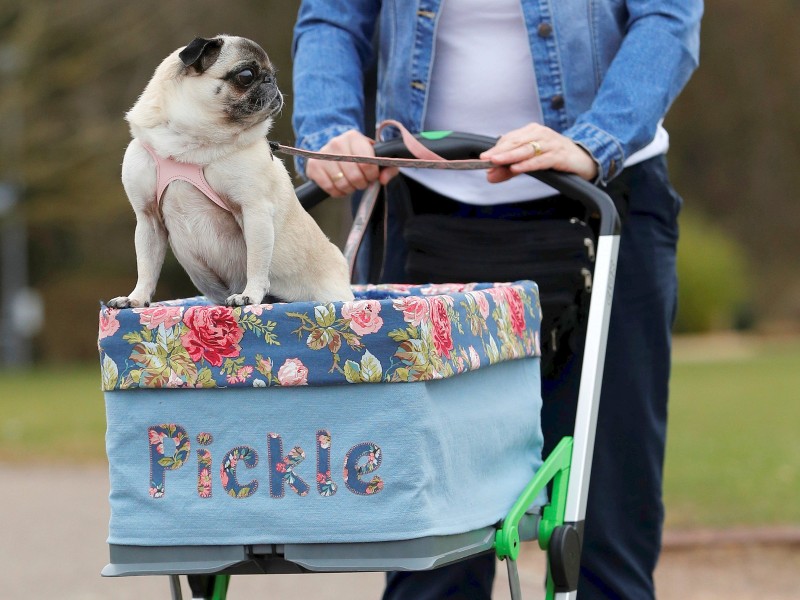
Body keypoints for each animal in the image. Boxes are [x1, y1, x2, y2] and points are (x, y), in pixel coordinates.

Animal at [107, 36, 354, 310]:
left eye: (272, 75)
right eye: (247, 75)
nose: (271, 81)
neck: (189, 144)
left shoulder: (254, 211)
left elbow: (256, 263)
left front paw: (250, 296)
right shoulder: (147, 218)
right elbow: (146, 267)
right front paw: (137, 298)